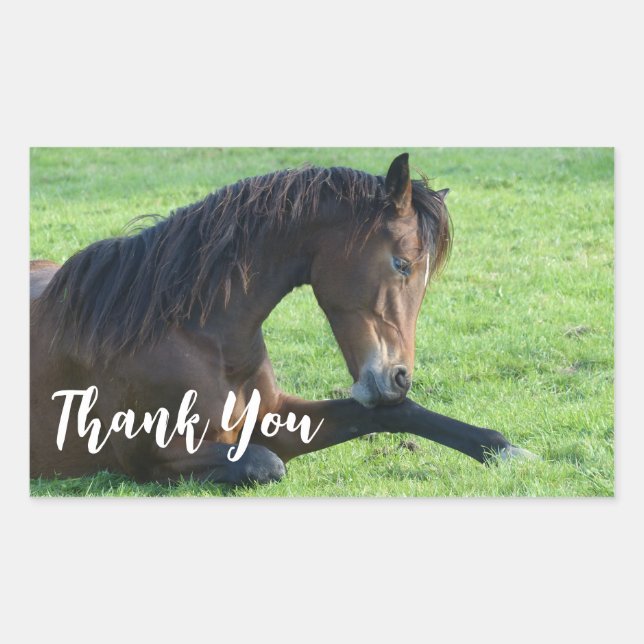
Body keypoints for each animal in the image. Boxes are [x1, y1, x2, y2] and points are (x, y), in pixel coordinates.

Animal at [30, 152, 534, 485]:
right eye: (402, 264)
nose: (399, 378)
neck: (196, 335)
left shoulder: (275, 416)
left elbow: (395, 413)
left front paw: (505, 449)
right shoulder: (153, 458)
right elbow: (265, 463)